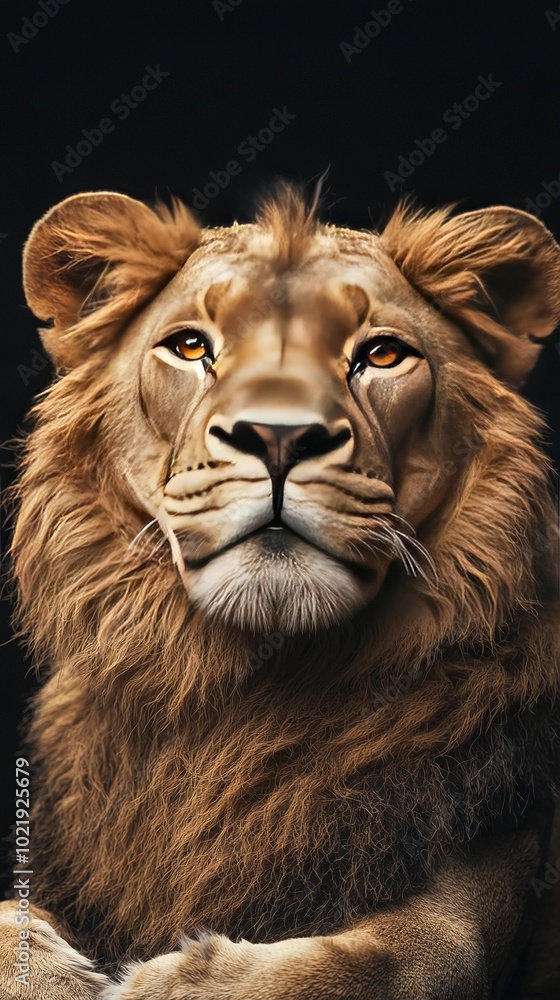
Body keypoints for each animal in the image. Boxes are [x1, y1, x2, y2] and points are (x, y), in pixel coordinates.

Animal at [1, 184, 560, 1000]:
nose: (278, 437)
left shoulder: (471, 911)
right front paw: (48, 970)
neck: (248, 694)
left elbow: (379, 963)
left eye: (380, 354)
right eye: (191, 347)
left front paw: (165, 983)